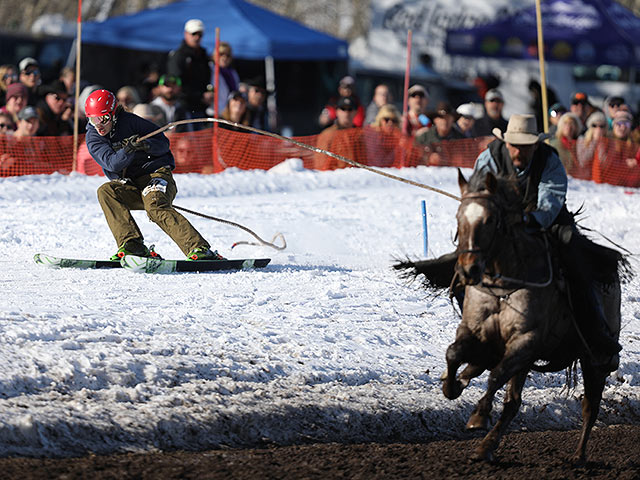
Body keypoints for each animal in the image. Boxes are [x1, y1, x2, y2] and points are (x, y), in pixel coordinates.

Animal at [398, 170, 624, 464]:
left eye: (490, 220)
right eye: (459, 217)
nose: (468, 270)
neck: (503, 286)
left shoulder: (525, 342)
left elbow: (495, 376)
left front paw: (479, 415)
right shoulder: (474, 331)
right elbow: (453, 353)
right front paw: (452, 386)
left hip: (592, 359)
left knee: (589, 404)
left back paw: (578, 455)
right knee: (511, 401)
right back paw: (484, 444)